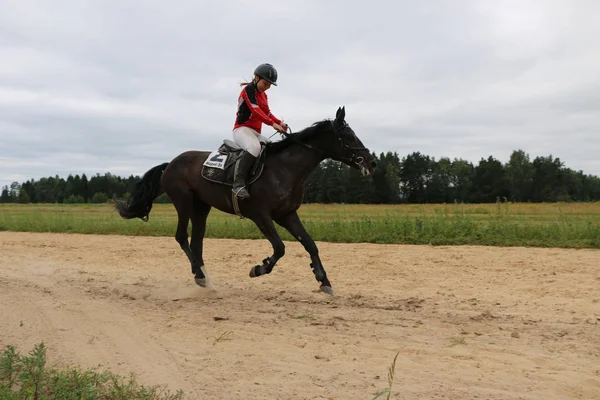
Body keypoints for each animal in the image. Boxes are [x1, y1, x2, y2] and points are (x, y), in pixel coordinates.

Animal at [112, 106, 376, 294]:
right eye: (349, 136)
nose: (372, 163)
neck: (285, 168)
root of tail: (170, 164)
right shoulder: (261, 216)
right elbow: (279, 248)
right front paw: (259, 268)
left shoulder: (287, 214)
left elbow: (310, 244)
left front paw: (324, 280)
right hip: (184, 202)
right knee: (181, 237)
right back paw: (200, 275)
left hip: (201, 207)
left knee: (197, 240)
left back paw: (204, 278)